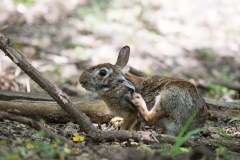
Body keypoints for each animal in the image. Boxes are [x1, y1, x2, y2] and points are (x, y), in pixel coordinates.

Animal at [79, 45, 207, 135]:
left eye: (102, 72)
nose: (81, 81)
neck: (116, 85)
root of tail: (192, 126)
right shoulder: (137, 120)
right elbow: (137, 127)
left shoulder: (130, 114)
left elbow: (127, 125)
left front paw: (121, 132)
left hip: (170, 94)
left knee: (151, 118)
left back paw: (138, 100)